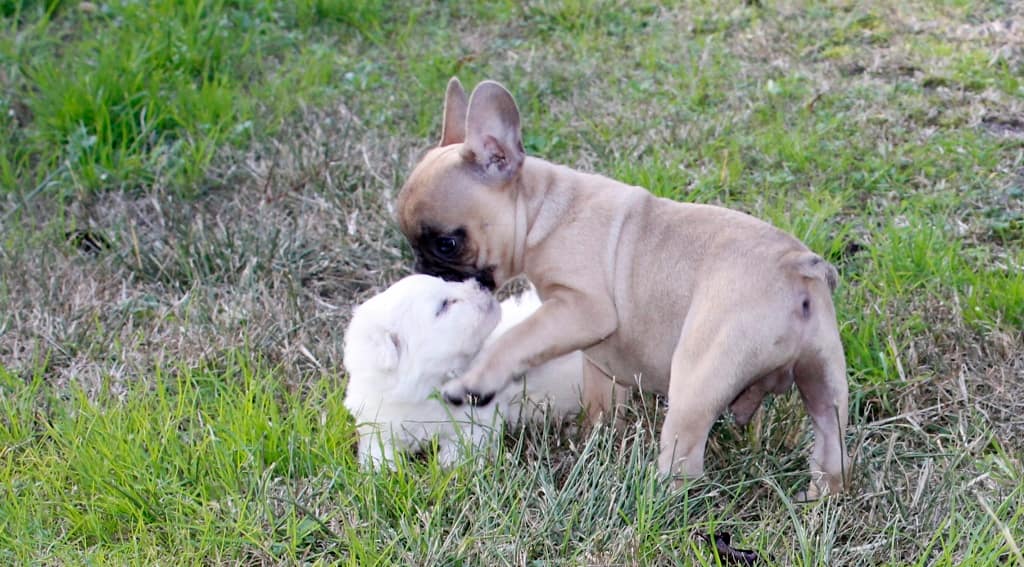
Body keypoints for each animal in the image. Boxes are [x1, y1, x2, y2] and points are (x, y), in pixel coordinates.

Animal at [343, 274, 583, 468]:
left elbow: (466, 441)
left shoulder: (481, 415)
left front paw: (451, 464)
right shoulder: (378, 422)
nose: (480, 283)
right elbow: (376, 446)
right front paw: (379, 468)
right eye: (444, 305)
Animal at [395, 78, 849, 499]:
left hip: (698, 375)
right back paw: (819, 496)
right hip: (825, 376)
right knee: (833, 445)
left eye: (446, 243)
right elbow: (600, 401)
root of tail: (794, 265)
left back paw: (661, 496)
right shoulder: (595, 355)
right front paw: (594, 437)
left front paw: (475, 381)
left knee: (685, 459)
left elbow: (517, 339)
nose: (424, 270)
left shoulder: (583, 309)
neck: (544, 209)